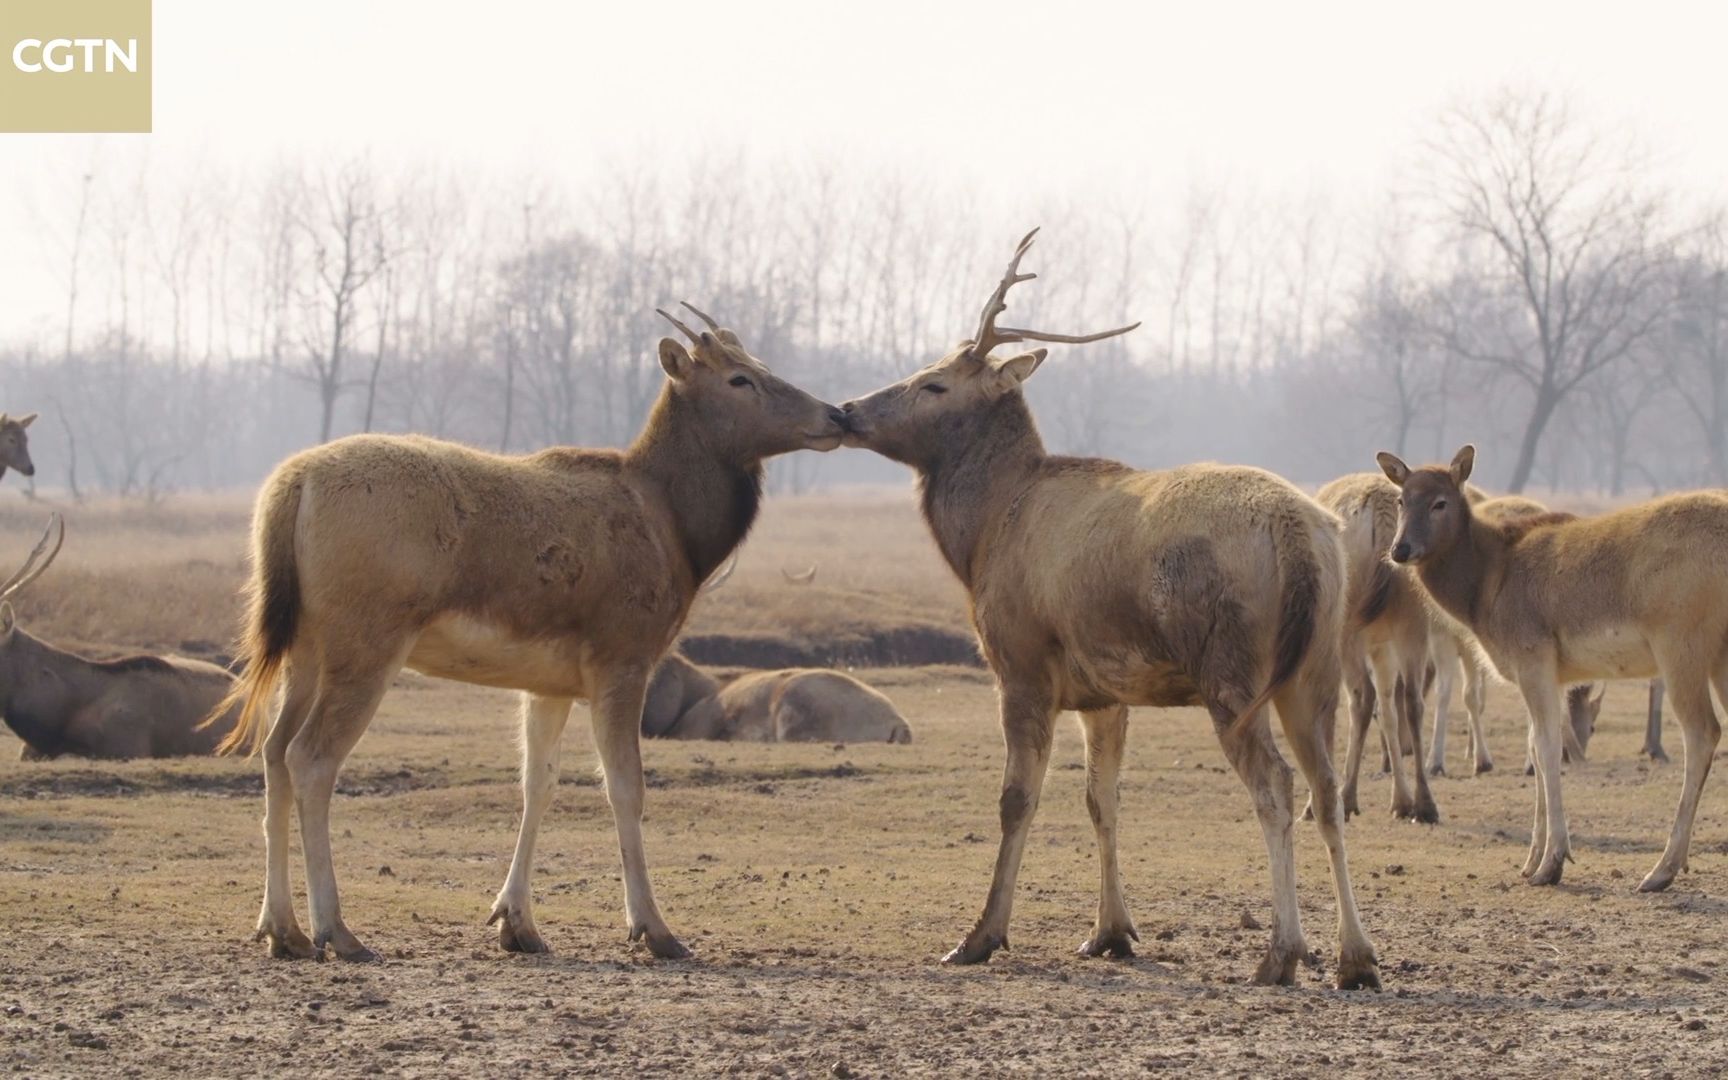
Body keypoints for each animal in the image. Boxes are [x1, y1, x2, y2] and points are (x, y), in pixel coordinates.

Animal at [212, 304, 846, 960]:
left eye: (761, 363)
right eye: (739, 378)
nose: (837, 415)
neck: (679, 533)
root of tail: (291, 487)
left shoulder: (548, 682)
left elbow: (537, 784)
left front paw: (517, 922)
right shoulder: (622, 655)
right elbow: (625, 787)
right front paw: (654, 928)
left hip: (303, 646)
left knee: (273, 751)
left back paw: (281, 928)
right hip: (367, 639)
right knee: (311, 757)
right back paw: (336, 930)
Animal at [836, 231, 1375, 988]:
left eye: (932, 383)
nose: (848, 410)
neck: (980, 539)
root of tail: (1299, 536)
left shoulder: (1021, 663)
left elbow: (1016, 800)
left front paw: (980, 936)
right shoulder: (1104, 691)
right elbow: (1103, 799)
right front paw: (1111, 932)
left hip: (1231, 670)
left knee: (1274, 784)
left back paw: (1281, 952)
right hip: (1314, 668)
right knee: (1325, 790)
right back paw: (1356, 958)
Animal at [1375, 442, 1728, 891]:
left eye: (1440, 502)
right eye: (1402, 499)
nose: (1400, 549)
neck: (1486, 588)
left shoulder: (1533, 656)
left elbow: (1545, 748)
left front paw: (1551, 862)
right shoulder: (1553, 673)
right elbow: (1534, 743)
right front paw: (1530, 861)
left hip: (1681, 643)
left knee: (1703, 733)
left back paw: (1662, 869)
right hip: (1718, 655)